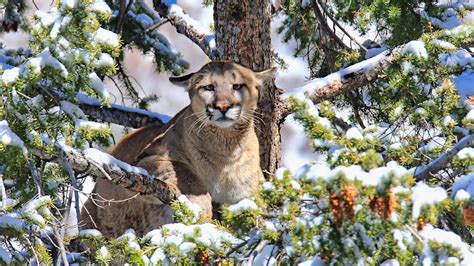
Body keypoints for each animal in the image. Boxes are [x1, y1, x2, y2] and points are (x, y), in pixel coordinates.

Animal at [79, 60, 276, 237]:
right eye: (209, 87)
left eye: (237, 86)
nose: (223, 106)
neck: (226, 148)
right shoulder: (148, 157)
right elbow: (185, 174)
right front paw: (200, 205)